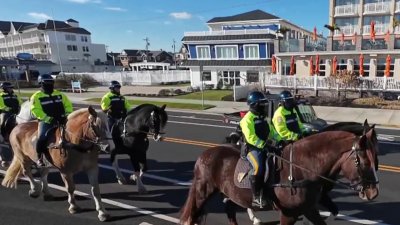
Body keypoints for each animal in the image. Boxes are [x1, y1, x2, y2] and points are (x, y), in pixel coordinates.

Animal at [180, 127, 378, 224]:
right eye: (364, 163)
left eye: (376, 160)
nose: (373, 193)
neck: (301, 167)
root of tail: (204, 154)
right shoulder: (289, 214)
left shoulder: (309, 209)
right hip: (202, 192)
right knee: (192, 216)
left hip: (229, 193)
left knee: (230, 212)